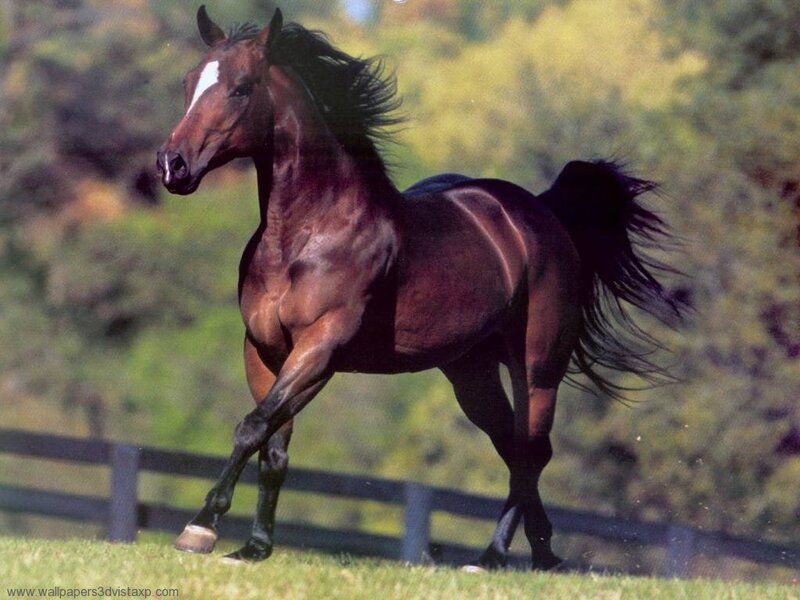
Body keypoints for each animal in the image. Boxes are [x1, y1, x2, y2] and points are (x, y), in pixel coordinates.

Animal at [155, 6, 682, 570]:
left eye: (241, 87)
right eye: (188, 81)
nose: (172, 165)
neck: (306, 236)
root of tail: (541, 213)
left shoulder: (321, 348)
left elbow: (252, 427)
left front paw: (200, 527)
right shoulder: (263, 351)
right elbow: (273, 446)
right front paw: (254, 547)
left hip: (538, 368)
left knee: (531, 451)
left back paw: (493, 555)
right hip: (471, 374)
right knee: (512, 447)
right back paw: (542, 555)